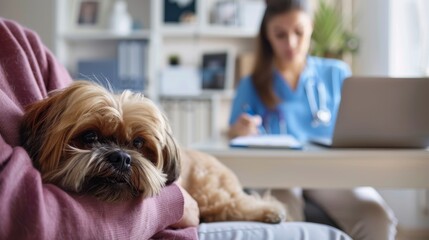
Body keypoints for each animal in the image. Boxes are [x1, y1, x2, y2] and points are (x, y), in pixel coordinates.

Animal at [20, 81, 288, 223]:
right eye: (90, 137)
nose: (122, 157)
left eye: (139, 143)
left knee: (236, 204)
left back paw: (270, 211)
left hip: (211, 194)